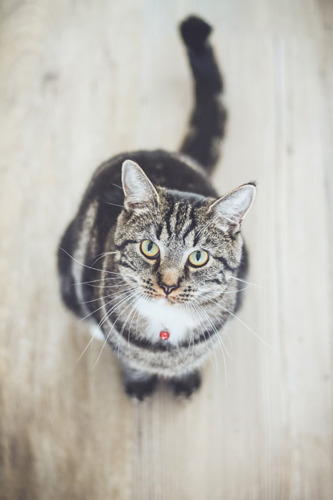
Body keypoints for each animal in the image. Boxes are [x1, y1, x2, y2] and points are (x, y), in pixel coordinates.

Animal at [57, 14, 254, 398]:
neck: (166, 335)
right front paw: (138, 383)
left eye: (198, 257)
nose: (168, 285)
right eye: (150, 248)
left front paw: (184, 378)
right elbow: (128, 357)